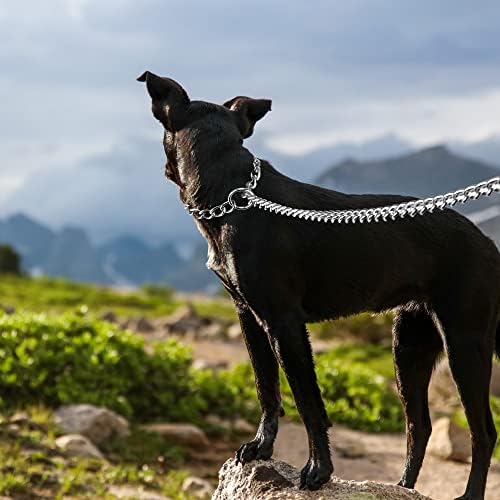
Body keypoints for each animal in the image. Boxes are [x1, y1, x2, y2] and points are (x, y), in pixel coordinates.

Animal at [138, 71, 500, 500]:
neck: (234, 196)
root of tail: (488, 243)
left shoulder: (285, 324)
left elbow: (308, 402)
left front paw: (318, 470)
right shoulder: (250, 318)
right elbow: (267, 389)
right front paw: (261, 447)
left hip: (465, 343)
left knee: (484, 432)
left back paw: (469, 493)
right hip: (409, 346)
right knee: (419, 427)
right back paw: (402, 487)